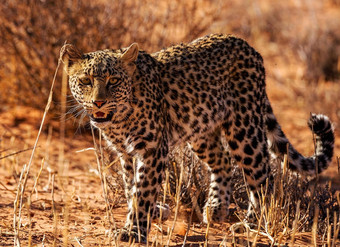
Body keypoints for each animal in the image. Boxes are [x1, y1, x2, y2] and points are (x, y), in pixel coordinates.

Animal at [61, 33, 334, 242]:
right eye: (85, 81)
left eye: (114, 80)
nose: (98, 102)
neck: (120, 118)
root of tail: (248, 46)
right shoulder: (125, 153)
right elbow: (131, 187)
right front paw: (153, 213)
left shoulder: (152, 149)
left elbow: (143, 190)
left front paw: (134, 230)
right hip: (201, 133)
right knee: (223, 160)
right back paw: (216, 208)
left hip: (244, 129)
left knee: (263, 175)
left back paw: (252, 223)